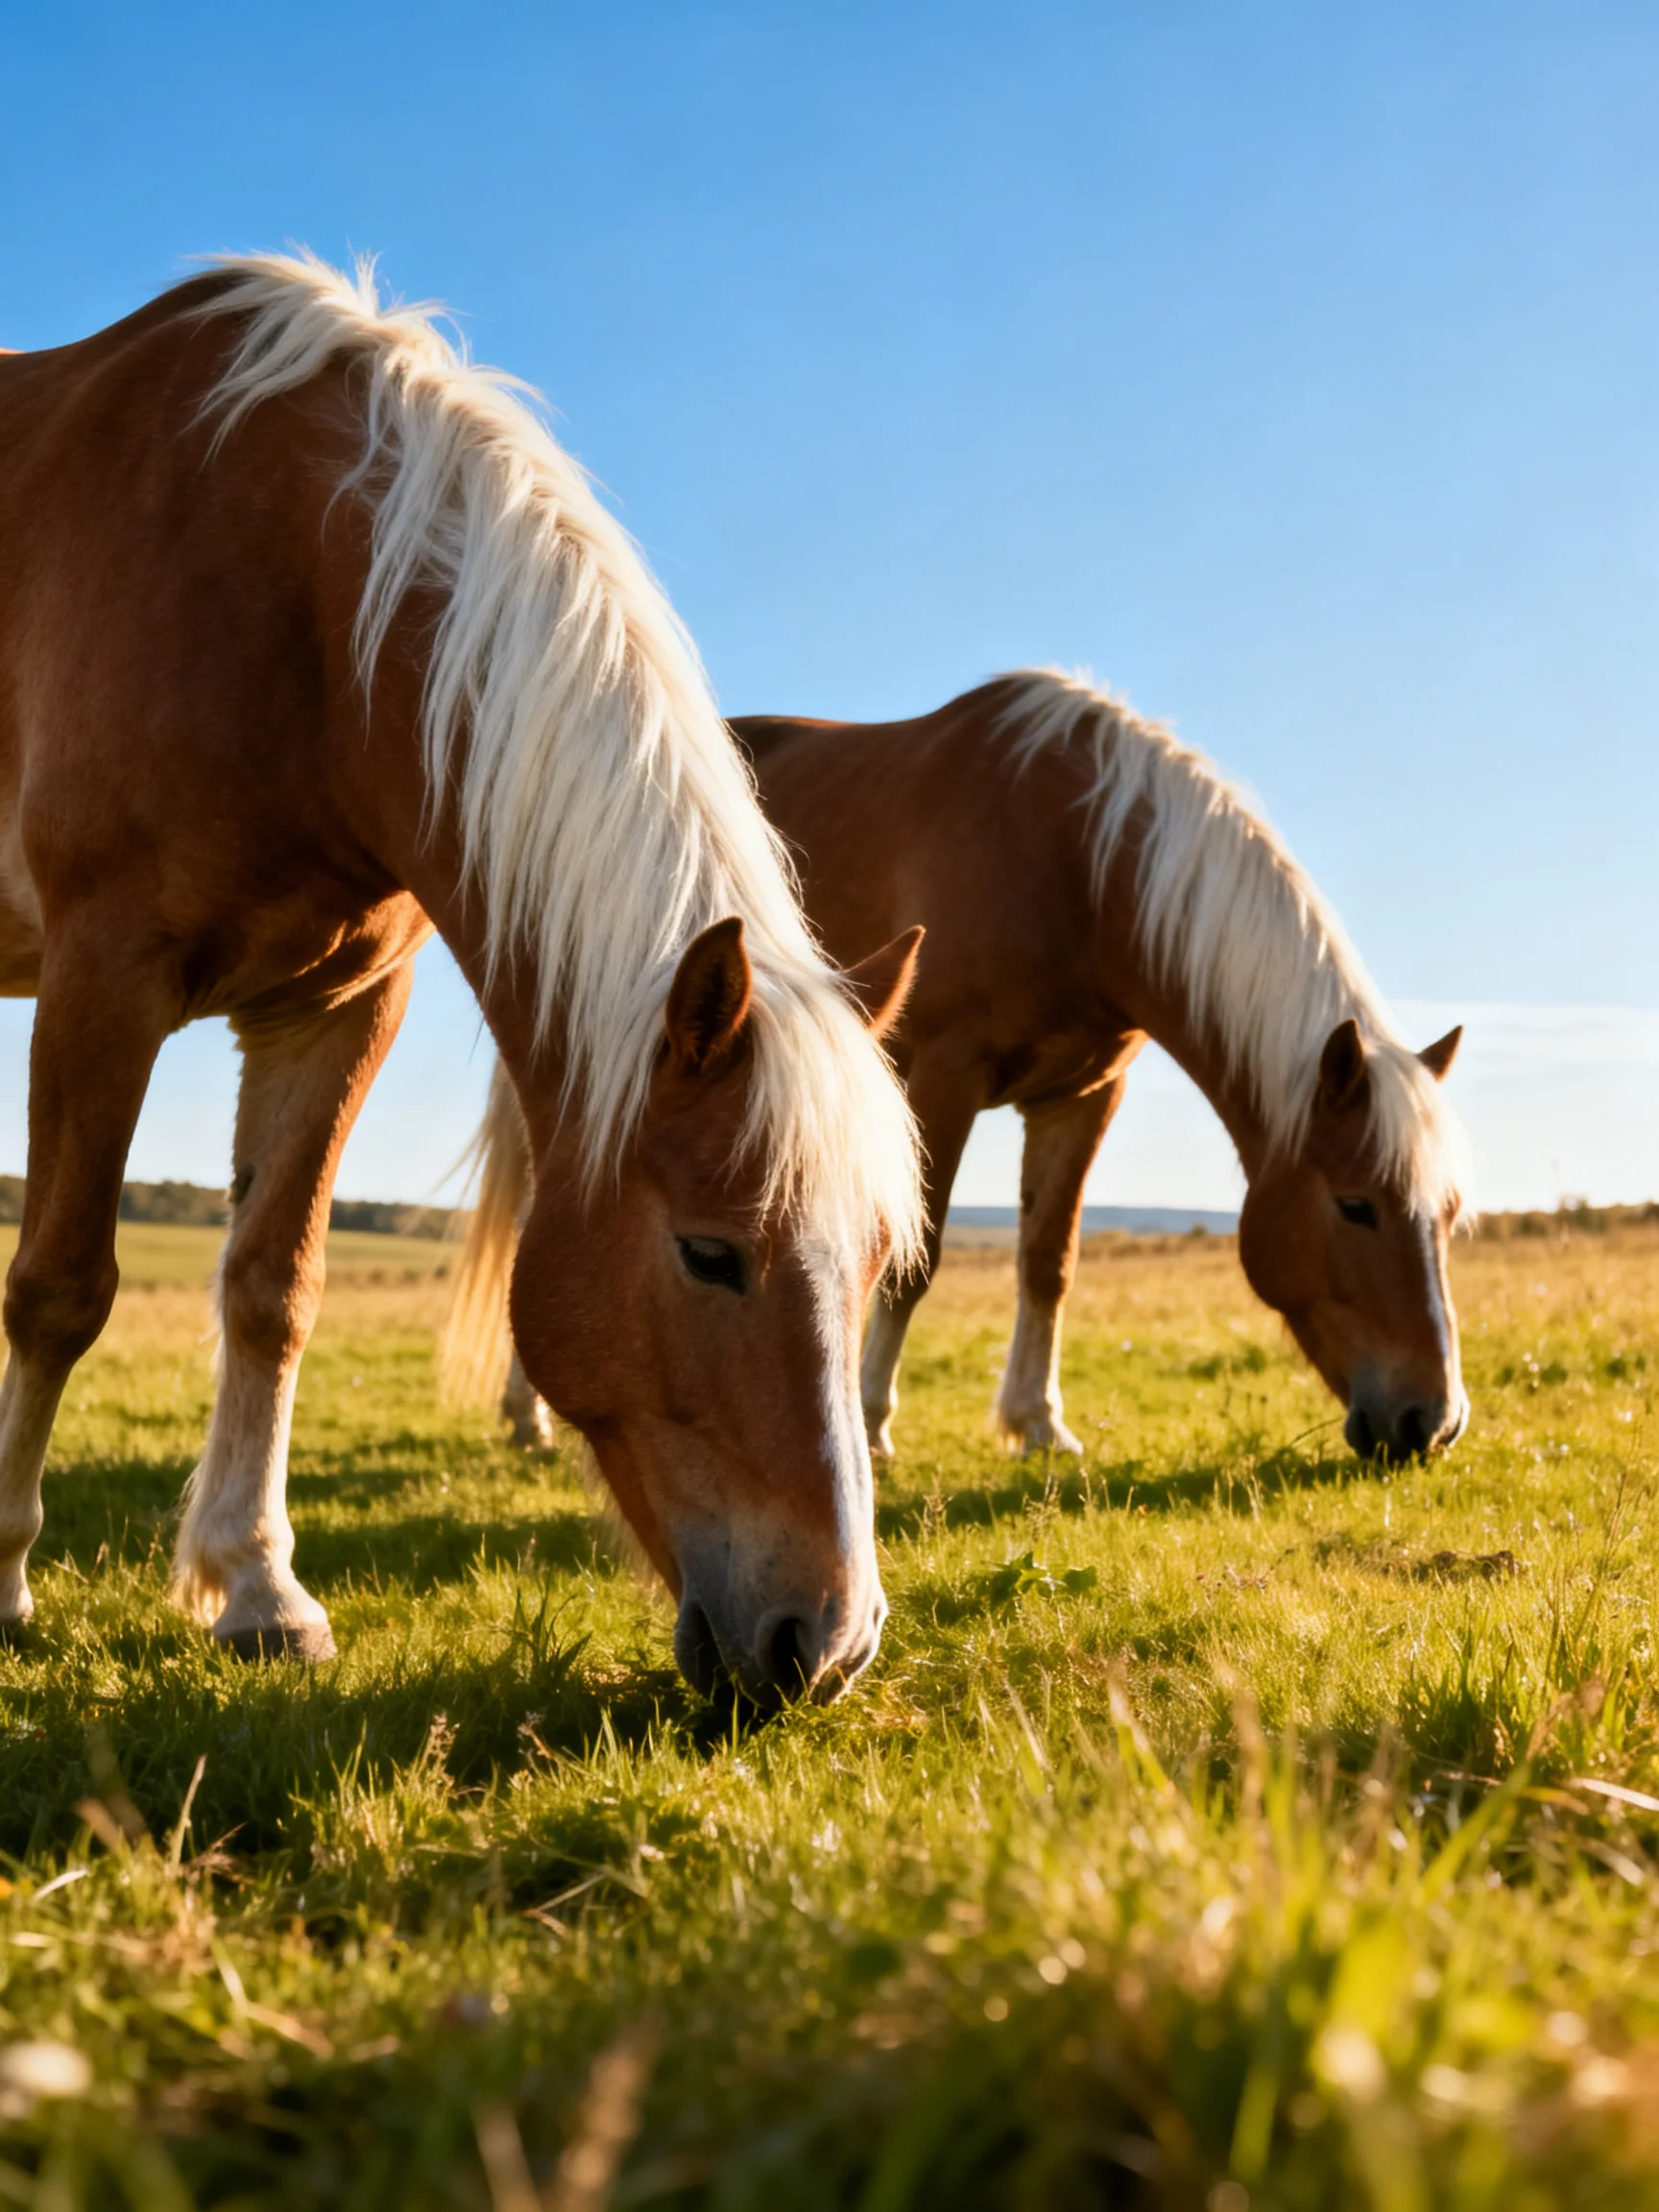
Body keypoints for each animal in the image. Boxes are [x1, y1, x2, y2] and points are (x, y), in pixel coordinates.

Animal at [0, 254, 923, 1706]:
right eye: (709, 1254)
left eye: (881, 1257)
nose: (825, 1647)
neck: (283, 585)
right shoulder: (105, 978)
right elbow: (57, 1288)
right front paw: (3, 1578)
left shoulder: (335, 1010)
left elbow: (272, 1289)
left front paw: (257, 1589)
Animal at [446, 672, 1468, 1464]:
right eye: (1356, 1205)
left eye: (1449, 1214)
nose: (1433, 1420)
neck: (1082, 855)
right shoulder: (942, 1074)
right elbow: (920, 1256)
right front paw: (869, 1420)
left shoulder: (1080, 1096)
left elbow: (1048, 1261)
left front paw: (1037, 1423)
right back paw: (529, 1414)